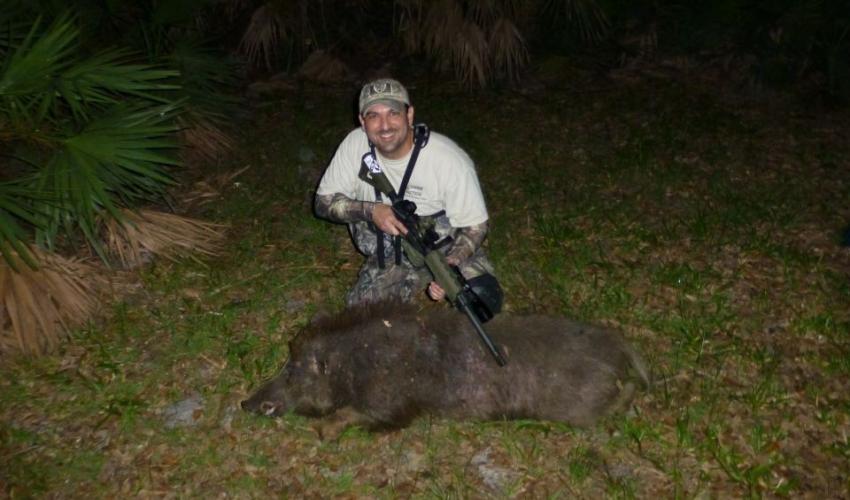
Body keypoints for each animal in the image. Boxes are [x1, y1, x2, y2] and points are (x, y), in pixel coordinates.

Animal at [241, 301, 649, 438]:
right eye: (285, 364)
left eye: (292, 371)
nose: (245, 403)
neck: (354, 366)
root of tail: (622, 347)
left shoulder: (392, 403)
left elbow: (359, 415)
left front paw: (324, 433)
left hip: (583, 405)